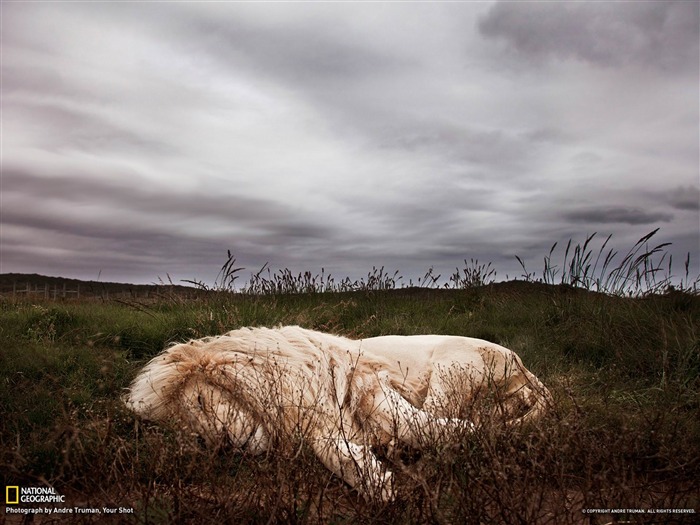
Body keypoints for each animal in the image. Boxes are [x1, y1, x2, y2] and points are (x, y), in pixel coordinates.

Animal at [126, 324, 552, 500]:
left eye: (199, 402)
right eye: (193, 435)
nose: (228, 447)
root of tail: (523, 366)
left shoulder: (368, 381)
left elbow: (412, 423)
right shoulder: (322, 419)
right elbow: (336, 452)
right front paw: (377, 483)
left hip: (450, 367)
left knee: (437, 416)